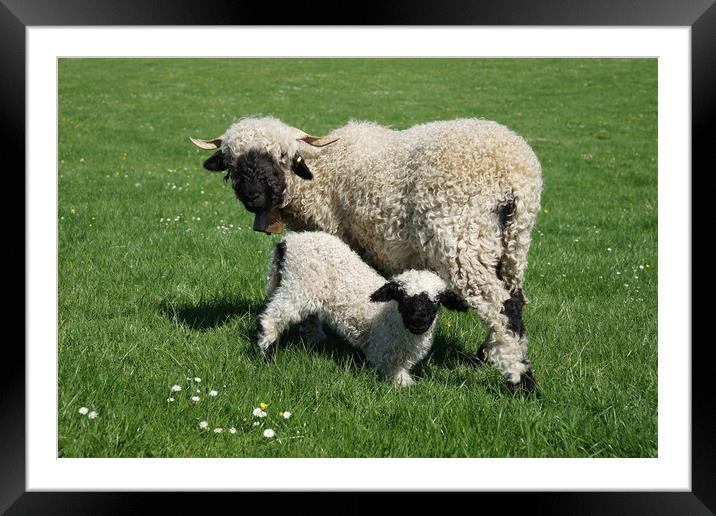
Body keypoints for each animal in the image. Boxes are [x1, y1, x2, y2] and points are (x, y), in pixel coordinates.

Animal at [258, 232, 470, 384]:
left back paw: (316, 341)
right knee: (274, 316)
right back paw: (266, 352)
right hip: (299, 284)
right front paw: (408, 386)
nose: (419, 320)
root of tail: (288, 241)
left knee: (310, 318)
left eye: (436, 301)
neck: (393, 320)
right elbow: (399, 378)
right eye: (403, 299)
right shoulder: (383, 354)